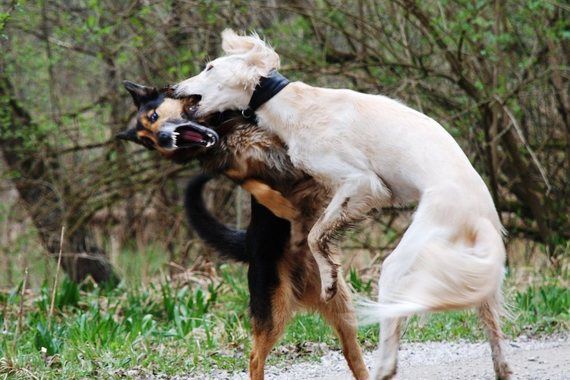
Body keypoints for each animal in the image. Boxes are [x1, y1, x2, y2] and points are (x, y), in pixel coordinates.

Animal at [118, 82, 368, 380]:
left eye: (154, 117)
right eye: (149, 141)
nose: (164, 140)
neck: (221, 130)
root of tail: (248, 245)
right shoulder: (235, 169)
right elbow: (254, 185)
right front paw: (281, 205)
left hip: (342, 306)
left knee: (352, 352)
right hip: (274, 309)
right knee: (254, 357)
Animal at [176, 30, 510, 380]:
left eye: (210, 67)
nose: (173, 88)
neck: (293, 104)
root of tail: (481, 215)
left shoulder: (362, 183)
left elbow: (314, 235)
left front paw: (328, 279)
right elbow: (310, 228)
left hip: (402, 262)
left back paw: (383, 366)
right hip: (475, 269)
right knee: (494, 334)